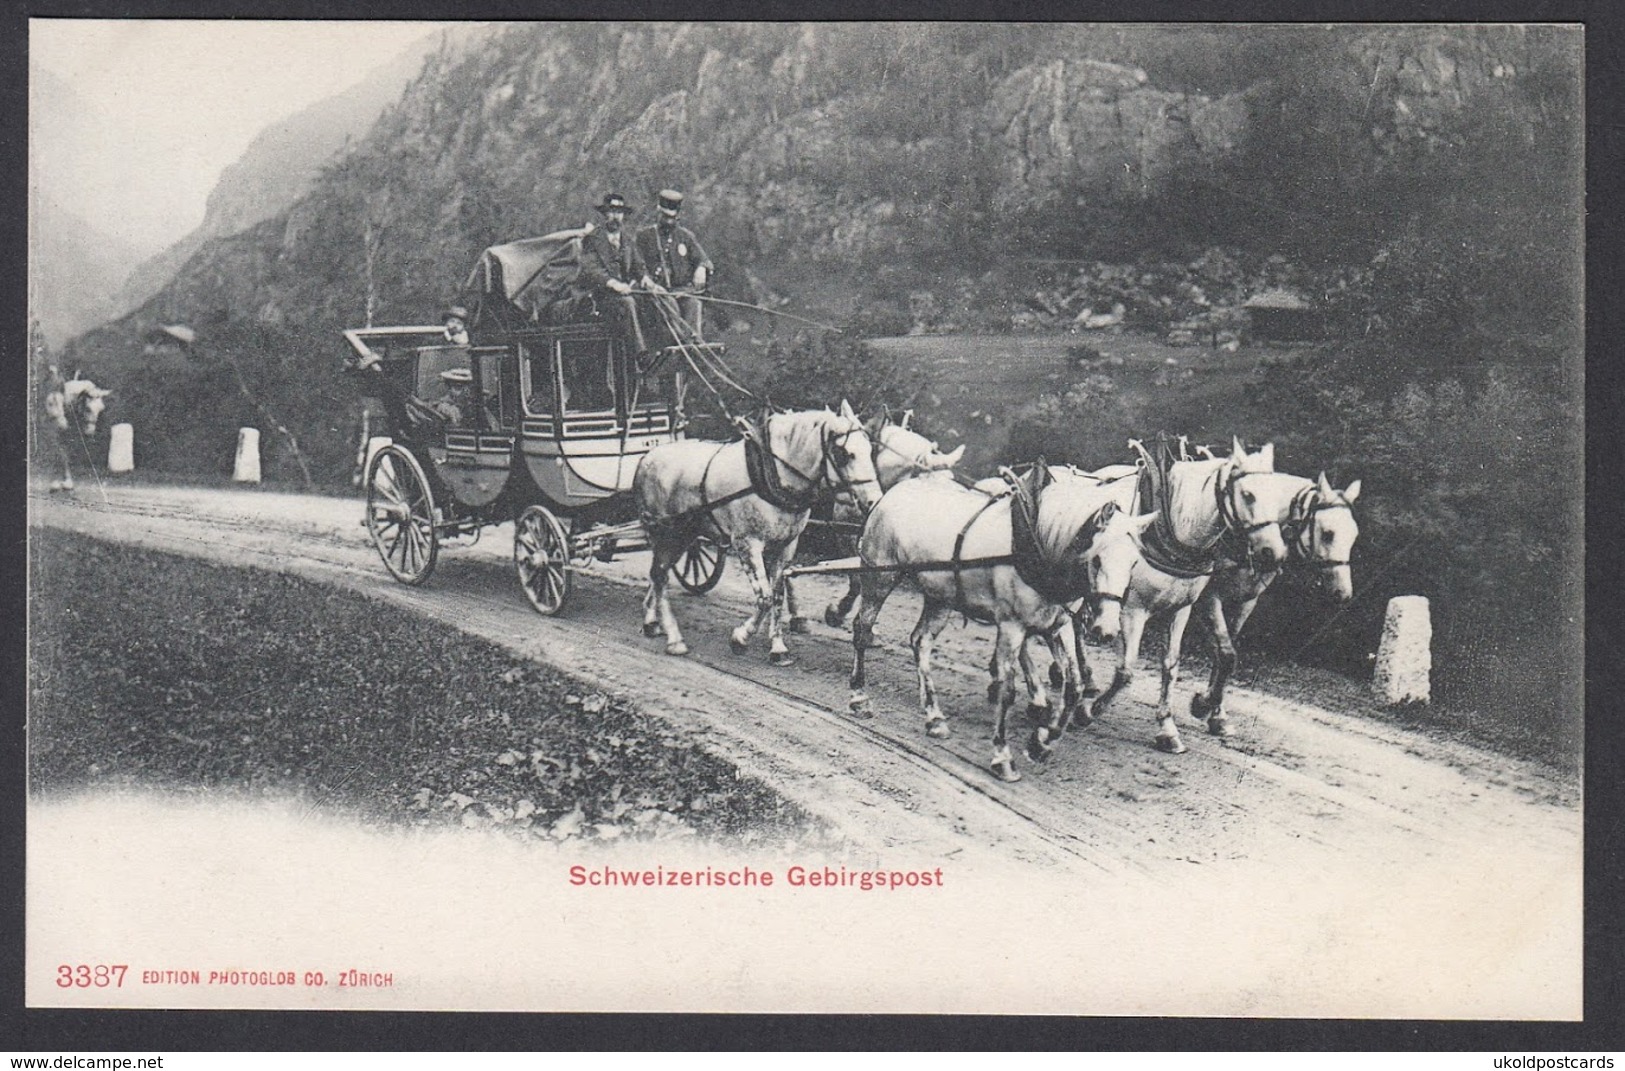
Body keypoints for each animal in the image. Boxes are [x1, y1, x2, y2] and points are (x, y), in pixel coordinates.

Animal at [637, 404, 890, 663]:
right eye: (843, 453)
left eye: (870, 450)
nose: (874, 501)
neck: (772, 475)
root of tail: (648, 457)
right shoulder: (747, 544)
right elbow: (765, 597)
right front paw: (741, 637)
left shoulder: (786, 545)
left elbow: (777, 595)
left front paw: (777, 647)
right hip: (666, 532)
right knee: (659, 575)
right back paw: (673, 637)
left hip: (684, 535)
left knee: (660, 573)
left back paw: (652, 621)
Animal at [851, 464, 1157, 783]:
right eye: (1096, 560)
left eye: (1134, 564)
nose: (1106, 630)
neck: (1035, 545)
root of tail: (890, 494)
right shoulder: (1012, 626)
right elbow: (1007, 690)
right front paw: (1003, 757)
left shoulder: (1057, 626)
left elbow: (1074, 687)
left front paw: (1041, 743)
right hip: (879, 577)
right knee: (862, 629)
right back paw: (860, 697)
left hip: (940, 599)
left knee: (920, 642)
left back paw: (934, 717)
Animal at [1196, 474, 1358, 741]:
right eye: (1328, 534)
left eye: (1354, 537)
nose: (1343, 594)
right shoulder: (1209, 596)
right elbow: (1226, 655)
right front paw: (1204, 704)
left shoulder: (1245, 601)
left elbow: (1225, 653)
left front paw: (1216, 714)